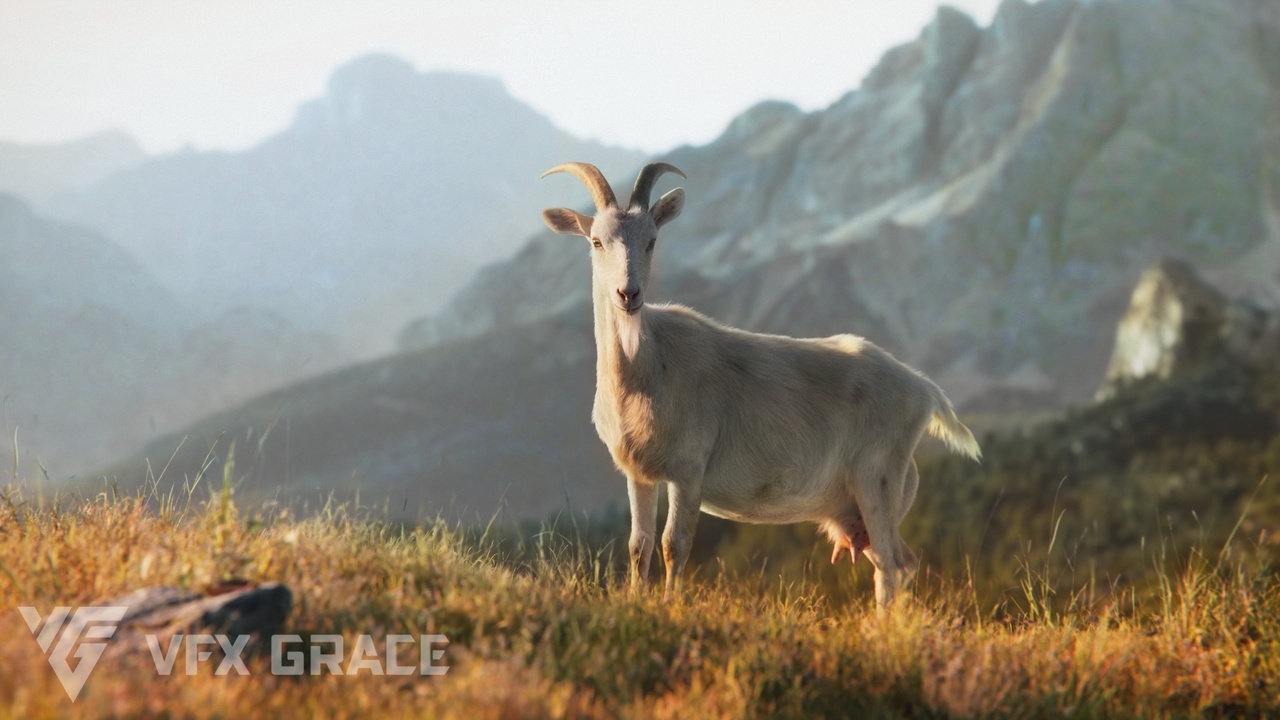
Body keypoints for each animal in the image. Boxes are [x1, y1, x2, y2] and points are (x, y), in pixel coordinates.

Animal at [541, 161, 981, 606]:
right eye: (596, 241)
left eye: (651, 241)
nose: (628, 294)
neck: (648, 370)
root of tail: (923, 390)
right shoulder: (641, 473)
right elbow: (639, 544)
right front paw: (638, 600)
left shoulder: (689, 468)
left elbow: (673, 544)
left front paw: (670, 604)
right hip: (862, 503)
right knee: (901, 561)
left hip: (879, 479)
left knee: (891, 565)